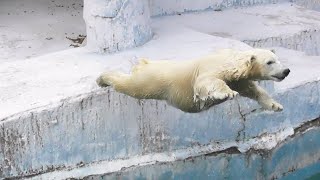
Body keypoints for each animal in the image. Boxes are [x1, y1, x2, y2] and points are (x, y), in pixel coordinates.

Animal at [95, 48, 290, 112]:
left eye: (278, 59)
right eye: (270, 62)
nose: (286, 71)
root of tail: (145, 64)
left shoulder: (239, 80)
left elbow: (253, 90)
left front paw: (276, 105)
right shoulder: (214, 69)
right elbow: (205, 81)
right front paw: (227, 94)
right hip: (151, 81)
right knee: (131, 86)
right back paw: (102, 78)